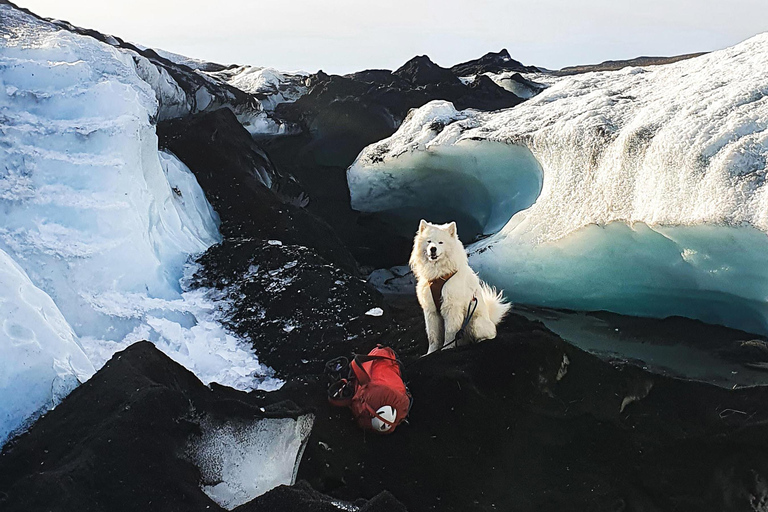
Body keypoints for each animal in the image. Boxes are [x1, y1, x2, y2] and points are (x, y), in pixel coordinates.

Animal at [408, 220, 510, 356]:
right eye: (429, 241)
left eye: (441, 242)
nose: (433, 249)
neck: (438, 275)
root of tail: (490, 318)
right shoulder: (431, 310)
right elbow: (433, 336)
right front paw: (430, 353)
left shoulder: (451, 308)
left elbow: (450, 332)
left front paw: (447, 348)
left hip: (475, 322)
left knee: (490, 334)